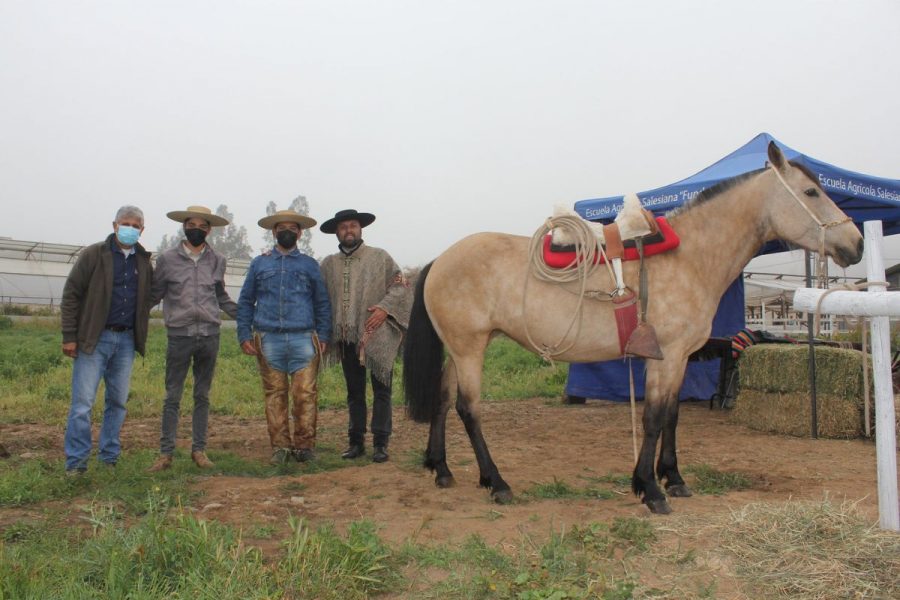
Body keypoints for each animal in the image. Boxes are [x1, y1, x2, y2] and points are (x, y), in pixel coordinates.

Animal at [402, 139, 864, 510]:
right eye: (810, 192)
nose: (856, 244)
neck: (690, 257)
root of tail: (440, 260)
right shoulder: (668, 356)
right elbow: (654, 418)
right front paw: (649, 489)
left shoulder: (677, 359)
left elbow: (672, 415)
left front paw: (672, 478)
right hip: (469, 349)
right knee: (468, 409)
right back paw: (496, 482)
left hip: (461, 349)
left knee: (442, 399)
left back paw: (442, 469)